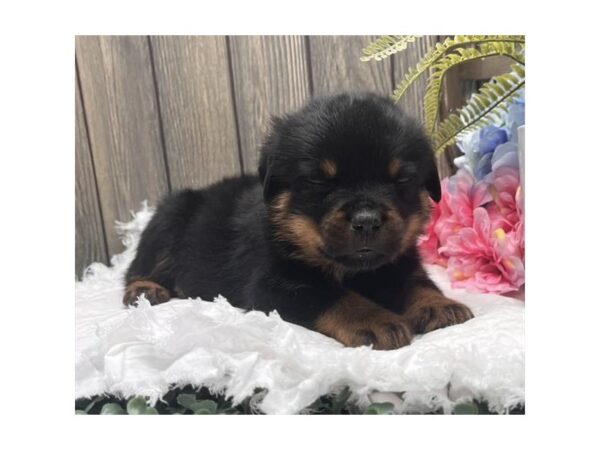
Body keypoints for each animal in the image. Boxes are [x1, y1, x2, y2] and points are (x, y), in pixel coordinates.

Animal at [124, 91, 474, 350]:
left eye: (400, 179)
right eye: (319, 181)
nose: (367, 220)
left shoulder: (398, 262)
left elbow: (416, 282)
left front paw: (438, 305)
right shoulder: (272, 285)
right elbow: (333, 296)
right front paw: (377, 320)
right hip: (168, 218)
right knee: (137, 267)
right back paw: (145, 290)